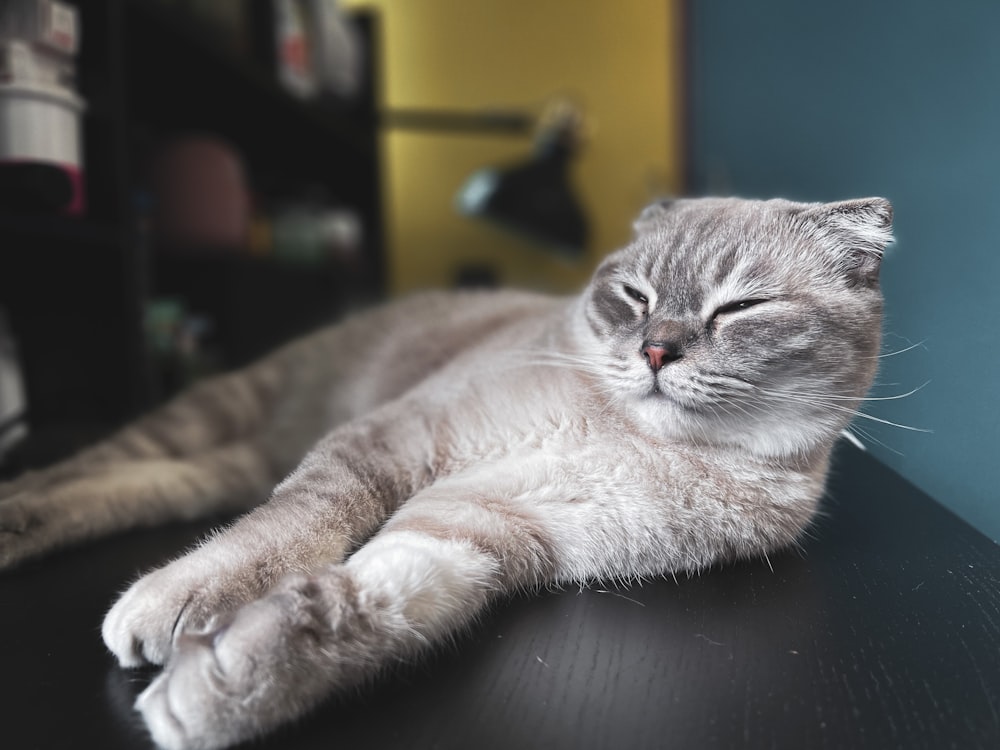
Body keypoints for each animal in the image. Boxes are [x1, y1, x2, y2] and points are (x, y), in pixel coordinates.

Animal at [0, 195, 892, 750]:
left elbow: (350, 608)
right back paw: (15, 516)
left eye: (740, 308)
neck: (638, 441)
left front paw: (218, 689)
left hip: (231, 460)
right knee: (94, 468)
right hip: (218, 410)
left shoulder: (478, 527)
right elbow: (286, 532)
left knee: (153, 484)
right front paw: (188, 602)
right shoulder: (394, 443)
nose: (656, 351)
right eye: (634, 297)